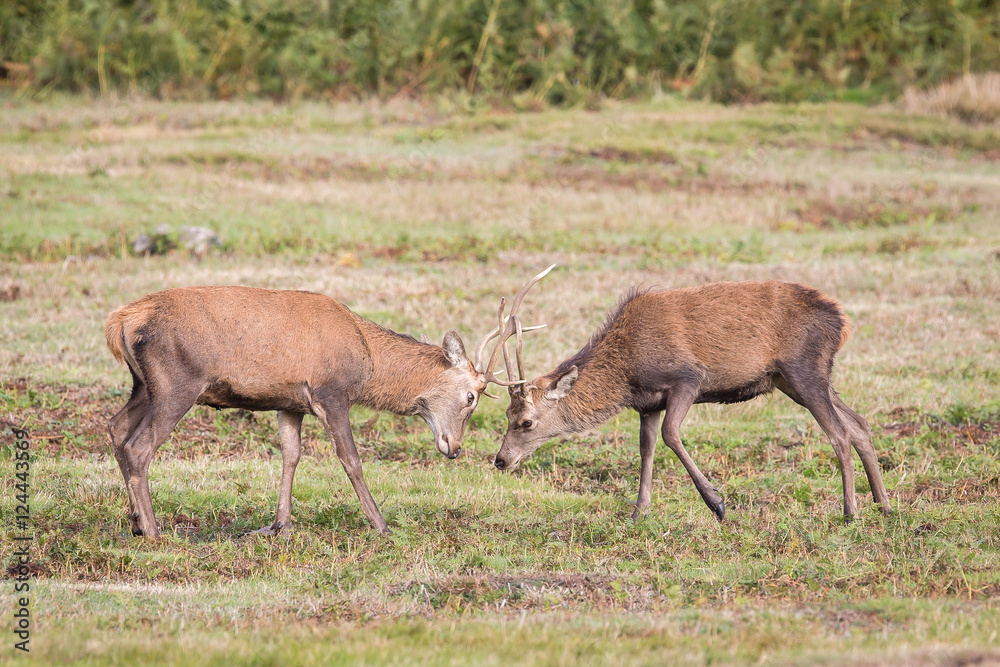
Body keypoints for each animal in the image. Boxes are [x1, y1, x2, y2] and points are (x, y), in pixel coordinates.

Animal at [104, 268, 552, 539]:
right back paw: (155, 530)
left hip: (143, 385)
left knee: (116, 428)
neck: (367, 362)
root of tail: (120, 320)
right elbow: (350, 459)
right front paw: (381, 524)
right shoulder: (331, 394)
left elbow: (291, 455)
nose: (454, 447)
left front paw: (280, 525)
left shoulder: (289, 403)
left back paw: (136, 522)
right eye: (471, 397)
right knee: (139, 445)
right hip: (177, 383)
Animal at [491, 280, 893, 524]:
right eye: (507, 414)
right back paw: (884, 505)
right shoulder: (647, 403)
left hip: (803, 369)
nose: (500, 460)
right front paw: (639, 512)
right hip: (794, 380)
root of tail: (842, 321)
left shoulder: (687, 378)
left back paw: (850, 512)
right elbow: (647, 448)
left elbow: (671, 434)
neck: (626, 372)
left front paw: (716, 502)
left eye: (525, 421)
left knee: (839, 434)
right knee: (860, 424)